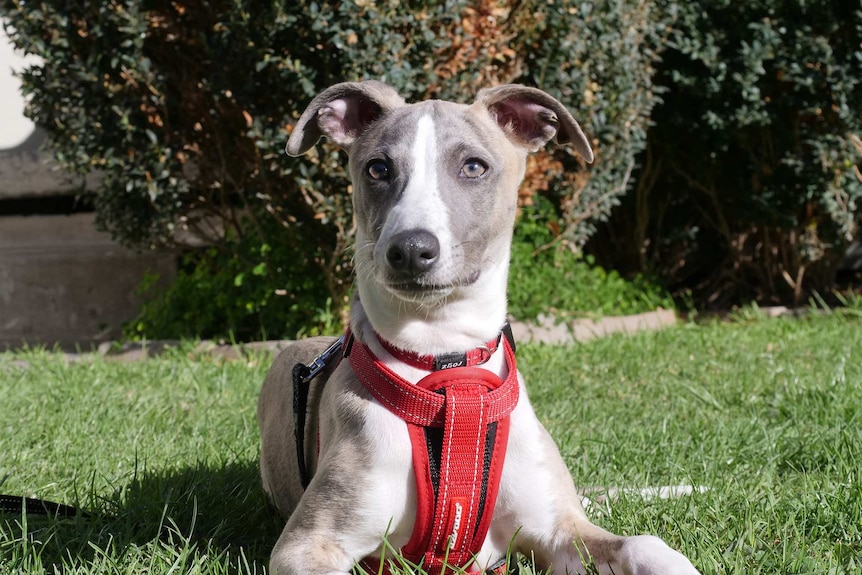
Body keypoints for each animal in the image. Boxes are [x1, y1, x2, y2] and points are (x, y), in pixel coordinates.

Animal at [256, 81, 704, 575]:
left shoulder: (557, 530)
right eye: (377, 168)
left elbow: (644, 544)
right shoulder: (306, 545)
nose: (410, 250)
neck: (447, 361)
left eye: (473, 166)